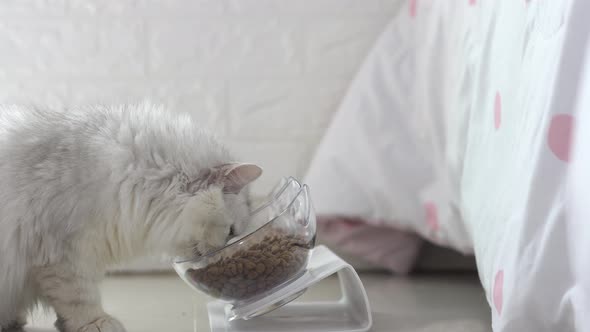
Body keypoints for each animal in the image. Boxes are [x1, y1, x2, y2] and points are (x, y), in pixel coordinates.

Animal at [0, 104, 264, 332]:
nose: (221, 257)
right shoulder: (63, 256)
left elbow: (63, 305)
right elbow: (80, 299)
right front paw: (96, 323)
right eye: (231, 232)